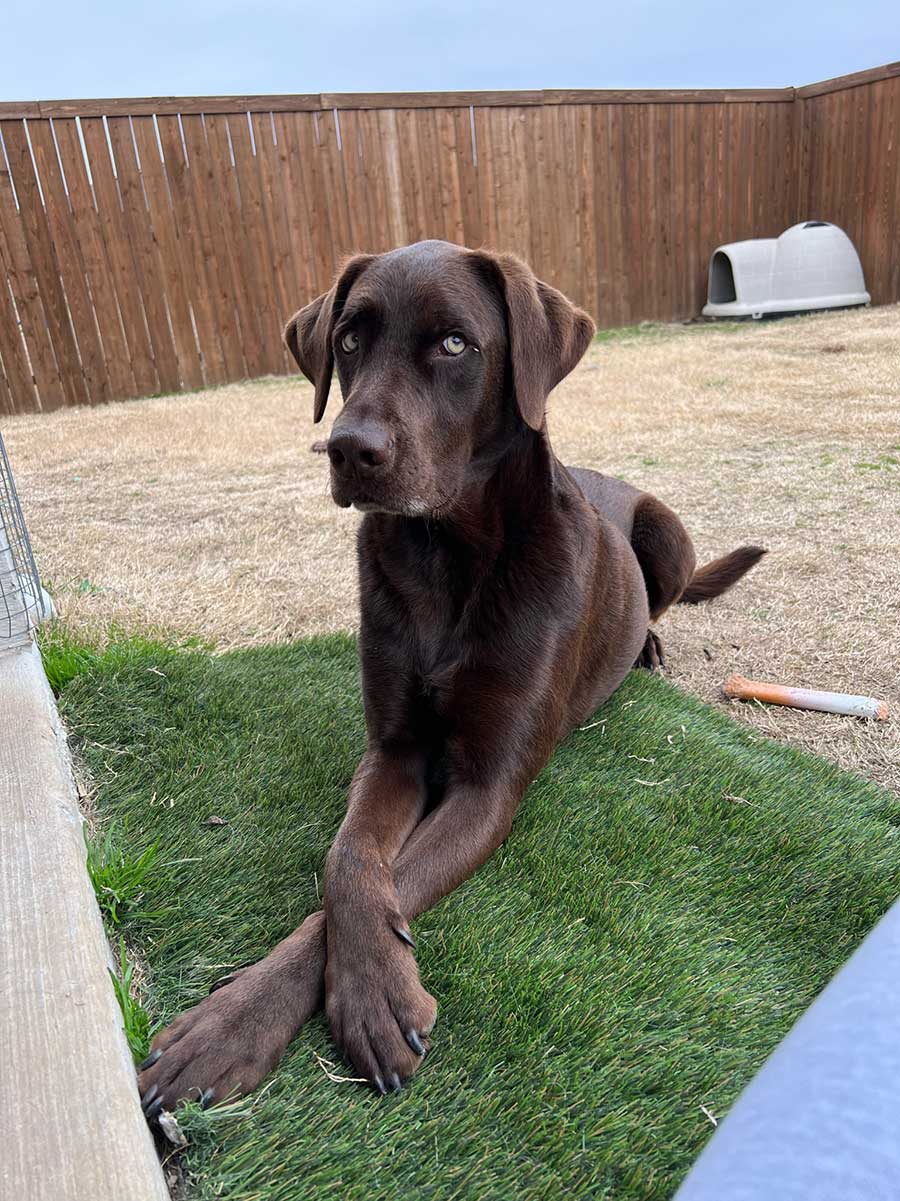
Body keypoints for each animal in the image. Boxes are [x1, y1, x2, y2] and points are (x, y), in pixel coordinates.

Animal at [138, 240, 764, 1115]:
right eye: (349, 339)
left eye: (455, 344)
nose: (346, 448)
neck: (446, 558)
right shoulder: (393, 749)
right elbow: (350, 859)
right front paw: (251, 1014)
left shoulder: (488, 786)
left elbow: (391, 872)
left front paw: (343, 1004)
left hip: (666, 532)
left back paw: (648, 649)